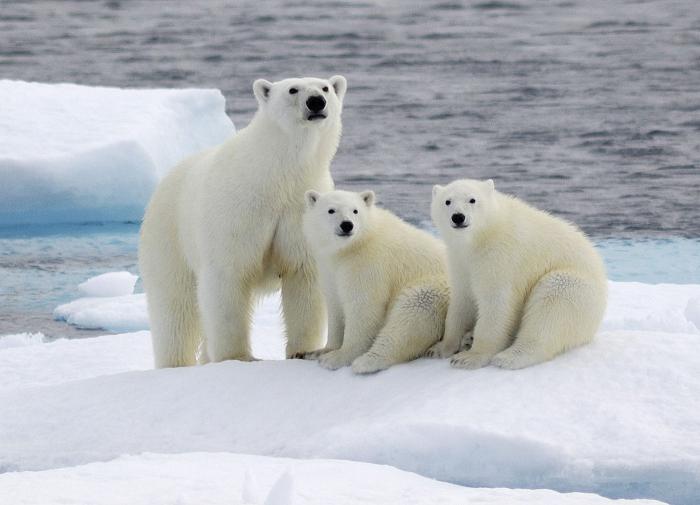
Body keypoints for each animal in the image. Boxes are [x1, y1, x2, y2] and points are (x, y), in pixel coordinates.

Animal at [142, 75, 348, 366]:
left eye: (325, 88)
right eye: (292, 89)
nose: (316, 102)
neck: (278, 175)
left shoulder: (299, 210)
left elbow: (303, 274)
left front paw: (302, 351)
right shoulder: (238, 210)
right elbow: (228, 276)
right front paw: (237, 357)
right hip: (169, 237)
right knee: (174, 307)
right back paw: (176, 363)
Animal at [304, 187, 452, 372]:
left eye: (355, 210)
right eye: (331, 210)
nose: (347, 225)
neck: (350, 248)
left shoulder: (368, 263)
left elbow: (363, 307)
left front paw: (337, 357)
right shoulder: (329, 269)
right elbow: (335, 305)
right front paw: (323, 350)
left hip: (439, 289)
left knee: (414, 311)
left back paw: (367, 361)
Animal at [426, 179, 608, 368]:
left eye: (472, 200)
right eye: (447, 201)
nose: (458, 217)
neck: (482, 236)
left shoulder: (501, 257)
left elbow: (497, 303)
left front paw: (469, 358)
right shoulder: (460, 261)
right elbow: (462, 300)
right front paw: (439, 348)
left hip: (576, 288)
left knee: (551, 305)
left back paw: (509, 357)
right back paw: (469, 338)